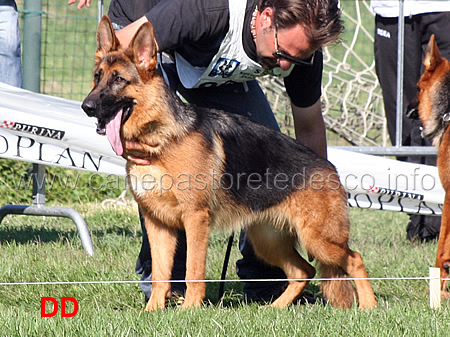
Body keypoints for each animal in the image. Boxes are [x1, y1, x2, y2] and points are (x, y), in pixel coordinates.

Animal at [81, 16, 376, 310]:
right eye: (97, 77)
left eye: (119, 79)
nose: (87, 107)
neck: (162, 138)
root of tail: (328, 166)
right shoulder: (158, 225)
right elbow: (161, 274)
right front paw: (153, 310)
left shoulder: (195, 219)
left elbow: (193, 271)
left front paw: (189, 309)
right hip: (268, 241)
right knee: (304, 270)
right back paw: (275, 307)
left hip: (318, 240)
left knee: (355, 259)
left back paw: (369, 306)